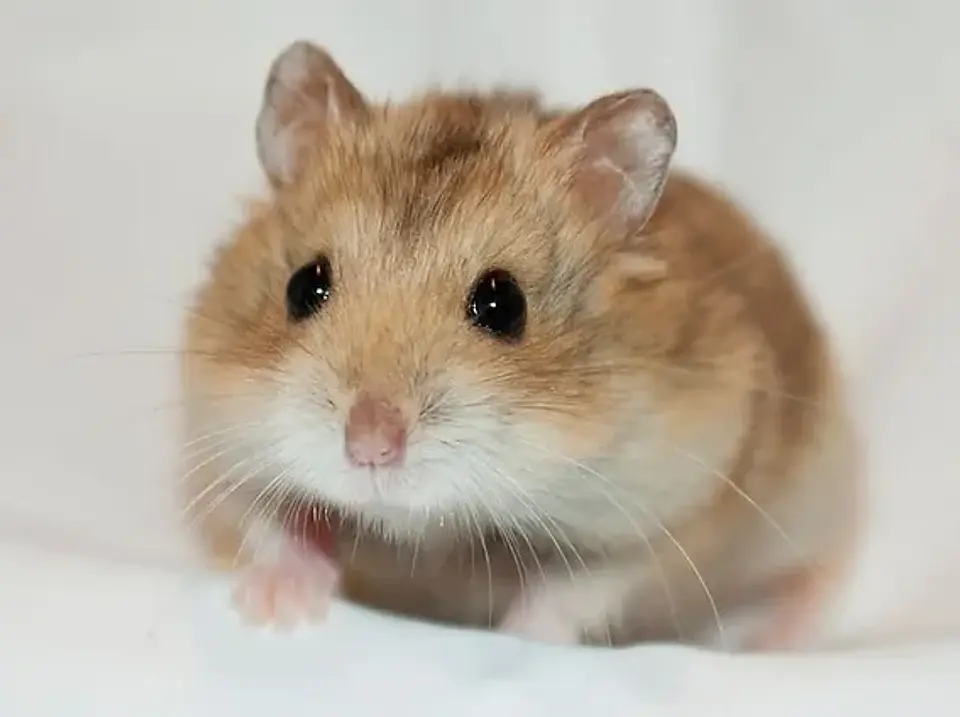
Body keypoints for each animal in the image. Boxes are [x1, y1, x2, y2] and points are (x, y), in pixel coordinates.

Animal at [180, 40, 860, 649]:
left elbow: (577, 588)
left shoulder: (672, 503)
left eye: (503, 305)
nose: (370, 447)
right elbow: (269, 525)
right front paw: (276, 613)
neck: (428, 529)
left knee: (820, 574)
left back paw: (773, 639)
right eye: (303, 286)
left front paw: (520, 642)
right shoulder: (217, 445)